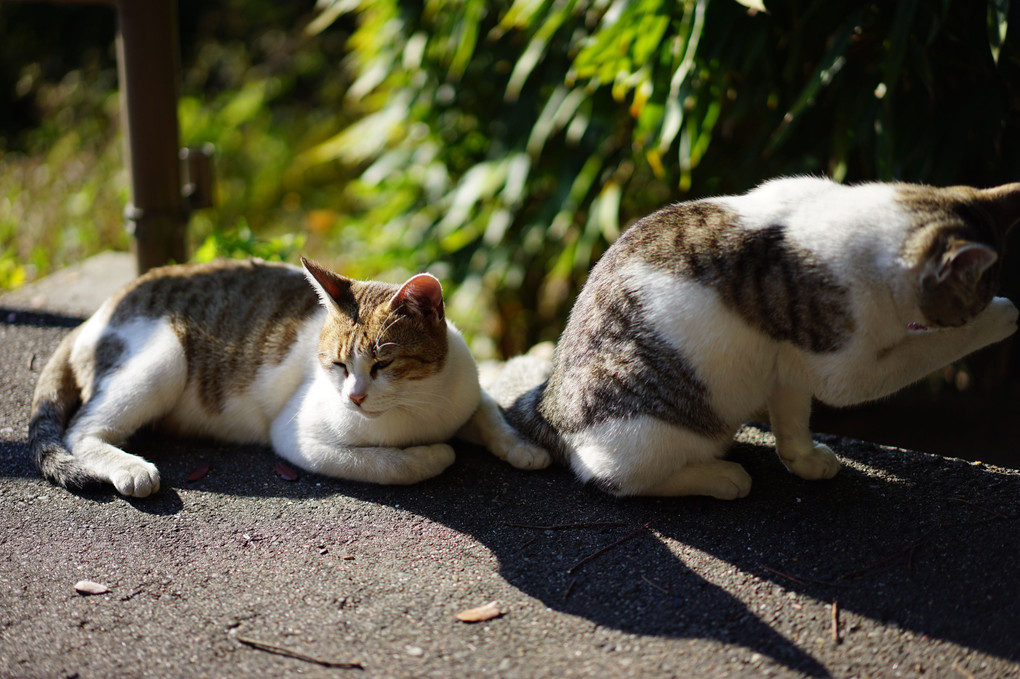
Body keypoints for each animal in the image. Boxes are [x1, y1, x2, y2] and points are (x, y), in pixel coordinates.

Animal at [29, 256, 550, 495]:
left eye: (383, 364)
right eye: (338, 365)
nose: (354, 399)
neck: (422, 403)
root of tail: (99, 311)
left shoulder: (466, 390)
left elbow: (490, 415)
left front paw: (523, 448)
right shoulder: (299, 439)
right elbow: (391, 464)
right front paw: (433, 455)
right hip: (165, 358)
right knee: (82, 430)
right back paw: (129, 468)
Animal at [487, 178, 1020, 497]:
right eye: (971, 303)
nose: (980, 310)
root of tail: (549, 404)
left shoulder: (789, 363)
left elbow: (792, 420)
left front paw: (803, 461)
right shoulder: (844, 371)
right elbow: (924, 352)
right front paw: (1001, 317)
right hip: (644, 430)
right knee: (614, 479)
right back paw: (719, 476)